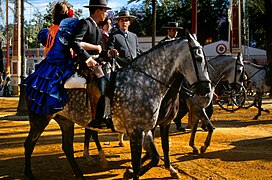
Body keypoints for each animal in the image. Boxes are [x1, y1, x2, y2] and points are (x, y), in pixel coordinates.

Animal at [23, 33, 210, 179]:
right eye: (199, 58)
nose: (206, 89)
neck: (143, 82)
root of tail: (32, 77)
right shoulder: (137, 132)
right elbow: (139, 165)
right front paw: (131, 171)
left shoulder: (146, 129)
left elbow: (156, 156)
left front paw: (131, 171)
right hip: (40, 119)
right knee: (29, 144)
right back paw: (30, 174)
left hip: (65, 120)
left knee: (67, 147)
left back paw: (80, 174)